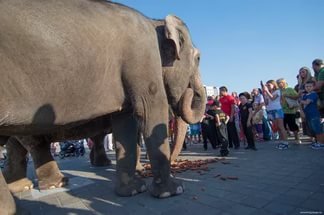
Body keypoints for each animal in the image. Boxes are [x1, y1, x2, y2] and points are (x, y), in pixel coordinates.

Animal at [0, 0, 206, 212]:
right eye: (198, 58)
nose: (192, 92)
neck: (153, 21)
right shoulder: (142, 57)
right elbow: (149, 111)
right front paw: (172, 191)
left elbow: (126, 122)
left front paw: (132, 190)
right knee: (34, 144)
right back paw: (50, 187)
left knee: (17, 146)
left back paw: (20, 189)